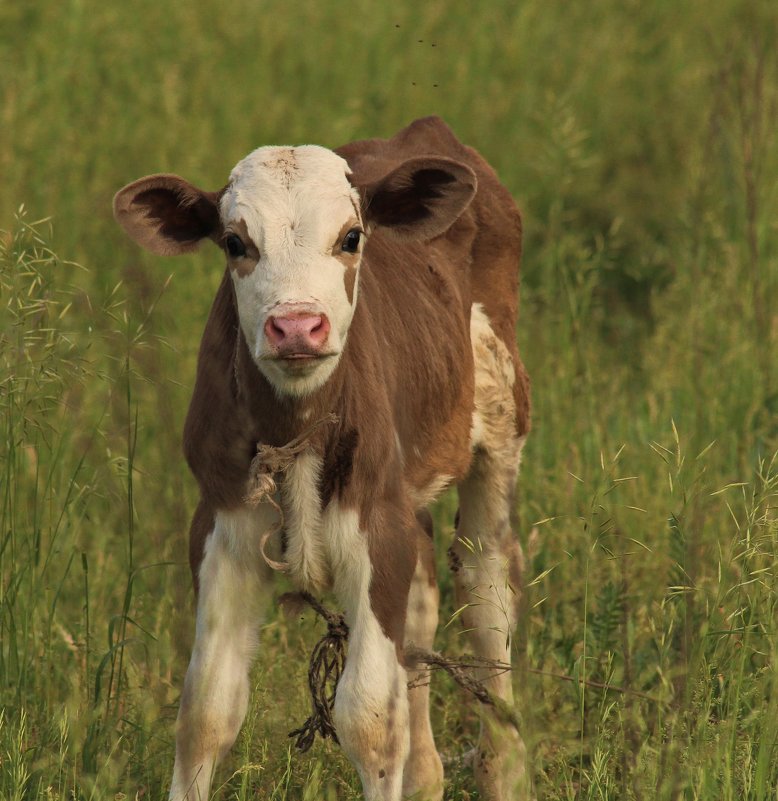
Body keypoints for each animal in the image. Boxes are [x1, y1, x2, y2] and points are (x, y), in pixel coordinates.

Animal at [113, 114, 528, 800]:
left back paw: (503, 768)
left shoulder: (376, 529)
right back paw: (426, 775)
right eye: (235, 242)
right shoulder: (222, 524)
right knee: (423, 610)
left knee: (486, 594)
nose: (297, 327)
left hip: (500, 428)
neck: (298, 427)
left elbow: (370, 718)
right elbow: (206, 711)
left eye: (351, 236)